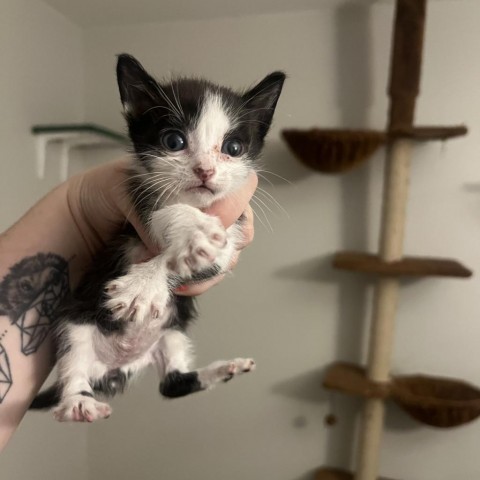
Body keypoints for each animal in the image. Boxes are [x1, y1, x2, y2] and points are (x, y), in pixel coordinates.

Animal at [30, 53, 284, 420]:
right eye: (173, 142)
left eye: (233, 147)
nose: (205, 170)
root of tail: (116, 366)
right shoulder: (132, 208)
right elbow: (162, 215)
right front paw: (189, 232)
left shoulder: (232, 235)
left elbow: (204, 255)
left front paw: (146, 283)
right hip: (74, 320)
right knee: (74, 365)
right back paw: (78, 401)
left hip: (173, 331)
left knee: (173, 384)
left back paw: (224, 368)